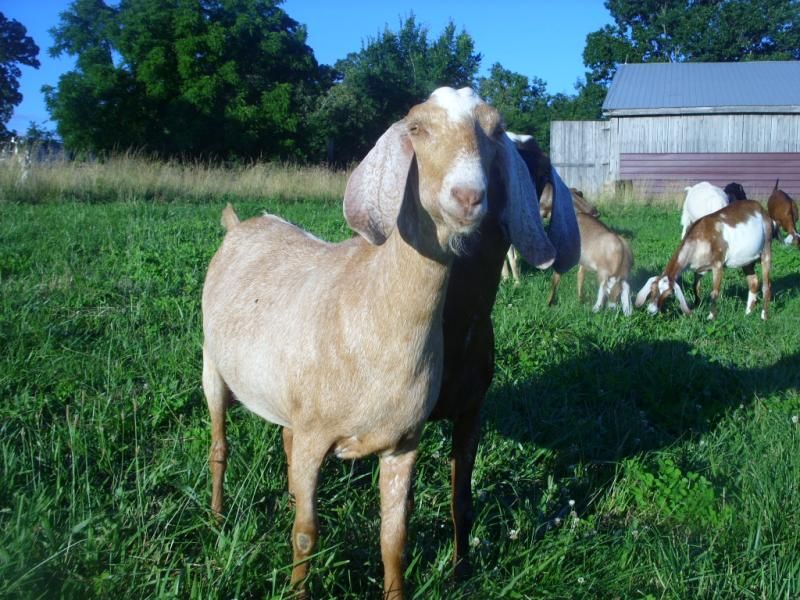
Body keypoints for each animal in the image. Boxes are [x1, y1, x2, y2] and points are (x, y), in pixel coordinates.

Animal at [635, 200, 772, 321]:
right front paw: (696, 307)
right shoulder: (698, 269)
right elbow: (695, 287)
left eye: (669, 294)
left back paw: (764, 316)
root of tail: (760, 208)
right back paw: (748, 313)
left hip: (766, 248)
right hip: (747, 261)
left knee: (766, 285)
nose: (651, 310)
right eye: (652, 289)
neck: (700, 237)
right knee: (753, 282)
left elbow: (714, 292)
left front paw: (711, 317)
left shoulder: (718, 265)